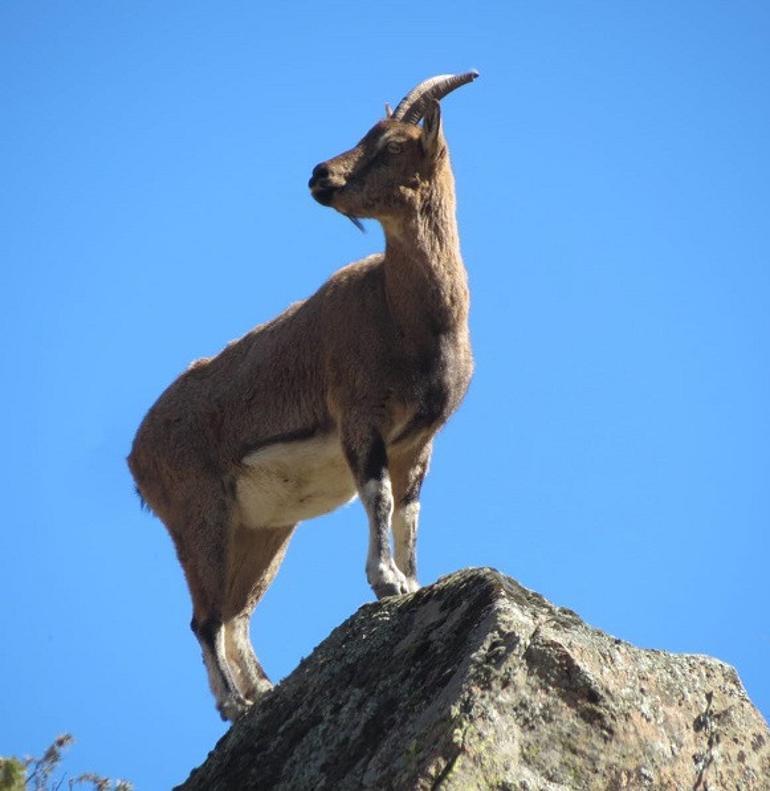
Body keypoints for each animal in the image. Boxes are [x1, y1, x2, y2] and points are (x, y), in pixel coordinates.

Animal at [129, 71, 476, 720]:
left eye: (392, 145)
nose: (320, 176)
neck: (405, 314)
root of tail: (136, 454)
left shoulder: (419, 439)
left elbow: (410, 511)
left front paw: (414, 583)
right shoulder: (361, 418)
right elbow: (379, 498)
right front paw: (386, 582)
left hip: (263, 528)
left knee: (236, 612)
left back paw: (264, 688)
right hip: (198, 512)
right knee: (204, 617)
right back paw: (234, 705)